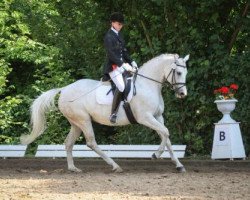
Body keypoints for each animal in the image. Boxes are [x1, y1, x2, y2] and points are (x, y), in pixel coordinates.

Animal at [21, 54, 189, 173]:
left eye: (185, 72)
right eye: (178, 72)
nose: (183, 94)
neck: (148, 85)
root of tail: (64, 89)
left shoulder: (158, 117)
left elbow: (166, 137)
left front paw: (179, 165)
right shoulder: (145, 117)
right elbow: (165, 133)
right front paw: (156, 154)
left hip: (76, 123)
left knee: (68, 143)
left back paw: (73, 168)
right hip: (83, 120)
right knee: (91, 142)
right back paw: (115, 165)